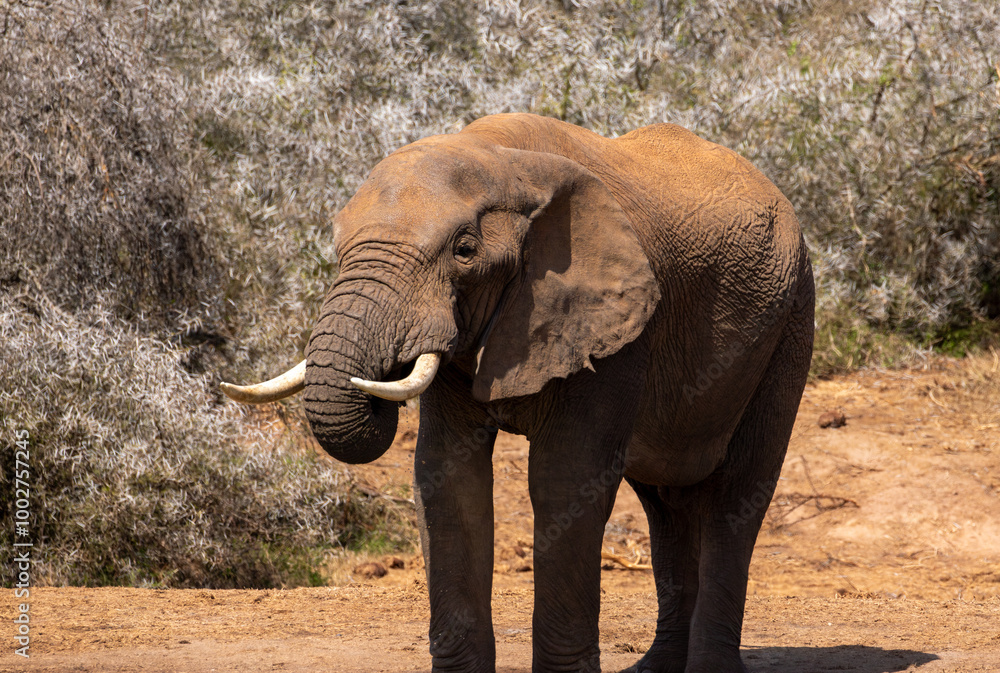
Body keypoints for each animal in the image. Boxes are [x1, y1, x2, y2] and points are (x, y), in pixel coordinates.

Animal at [221, 112, 814, 673]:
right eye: (338, 247)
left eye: (464, 250)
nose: (381, 375)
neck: (502, 158)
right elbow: (446, 477)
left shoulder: (615, 329)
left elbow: (565, 480)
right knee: (665, 502)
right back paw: (653, 668)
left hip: (791, 319)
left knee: (738, 495)